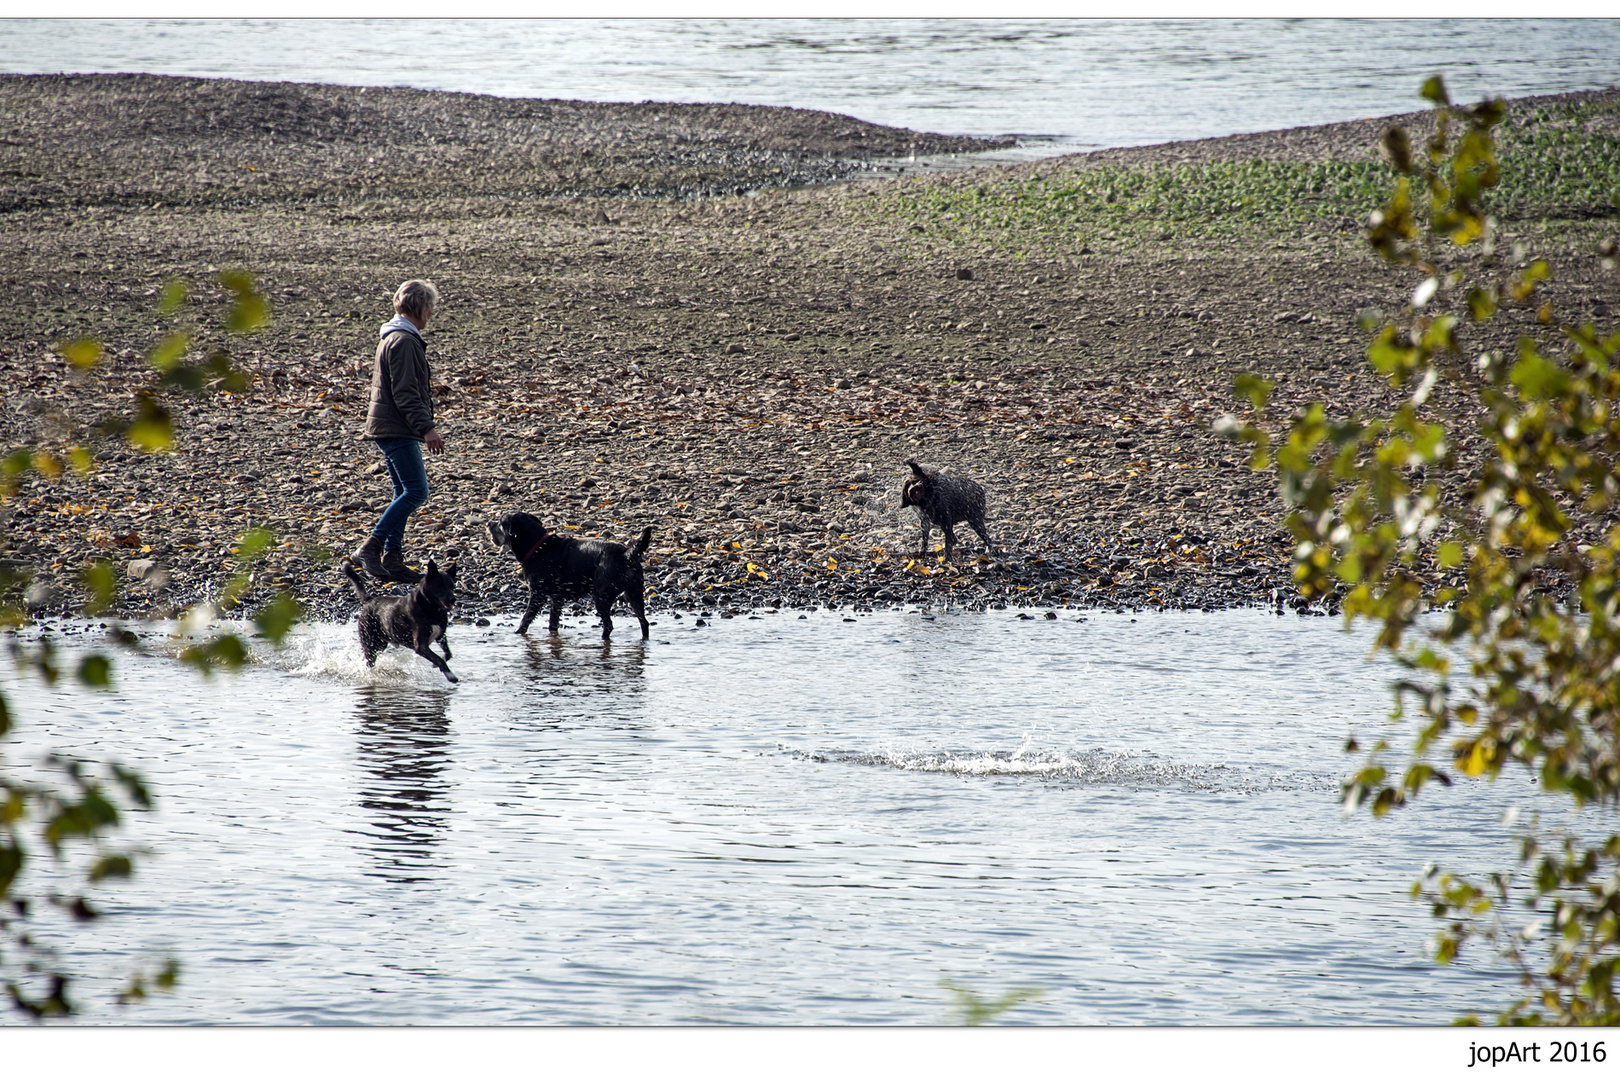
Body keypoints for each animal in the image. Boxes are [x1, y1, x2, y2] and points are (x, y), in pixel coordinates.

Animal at [486, 514, 651, 641]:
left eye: (500, 521)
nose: (488, 523)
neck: (538, 548)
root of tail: (627, 553)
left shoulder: (537, 594)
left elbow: (525, 619)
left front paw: (517, 633)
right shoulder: (557, 598)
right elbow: (553, 623)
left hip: (601, 595)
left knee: (609, 625)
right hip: (634, 593)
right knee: (644, 622)